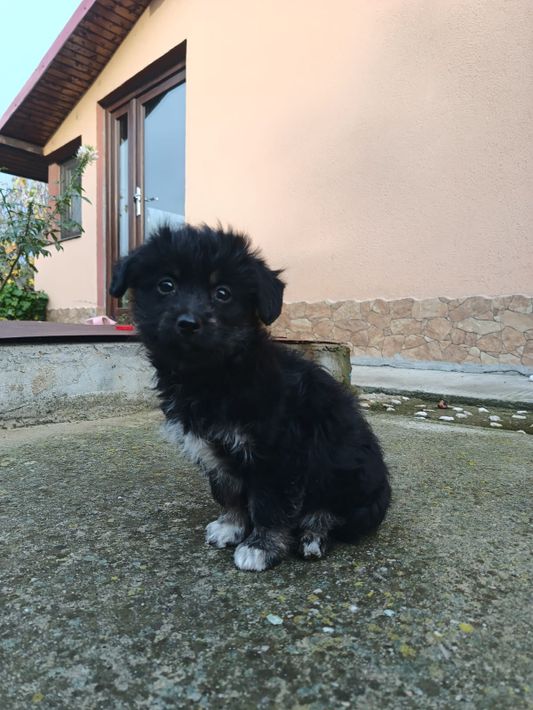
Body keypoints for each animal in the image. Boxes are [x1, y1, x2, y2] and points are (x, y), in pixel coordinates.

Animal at [110, 224, 391, 571]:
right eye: (166, 285)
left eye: (223, 293)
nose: (188, 323)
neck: (216, 375)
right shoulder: (216, 454)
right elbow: (229, 493)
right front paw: (231, 527)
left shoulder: (277, 455)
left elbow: (268, 505)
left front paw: (261, 547)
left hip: (355, 486)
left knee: (333, 515)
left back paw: (313, 534)